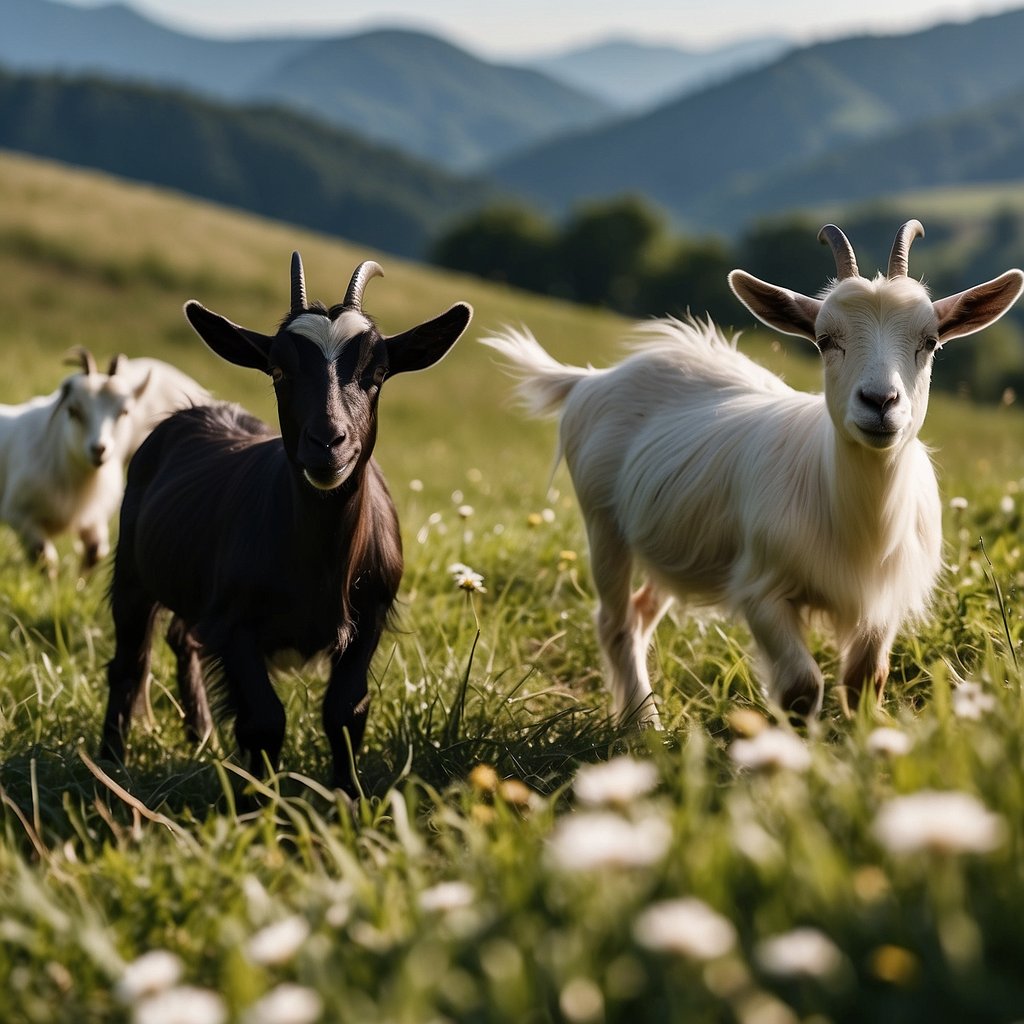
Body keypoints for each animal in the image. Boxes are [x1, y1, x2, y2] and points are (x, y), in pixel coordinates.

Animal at [99, 254, 472, 796]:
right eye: (278, 370)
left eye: (378, 372)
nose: (327, 442)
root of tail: (193, 412)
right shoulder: (236, 624)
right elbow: (264, 721)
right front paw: (260, 805)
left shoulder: (369, 618)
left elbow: (345, 712)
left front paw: (347, 800)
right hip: (132, 571)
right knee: (129, 663)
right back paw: (110, 765)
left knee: (183, 642)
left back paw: (201, 736)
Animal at [482, 222, 1023, 725]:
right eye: (825, 340)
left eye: (929, 342)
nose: (880, 402)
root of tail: (590, 379)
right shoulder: (761, 589)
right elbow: (802, 687)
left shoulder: (882, 599)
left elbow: (864, 681)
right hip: (604, 525)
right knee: (614, 623)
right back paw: (643, 726)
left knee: (639, 613)